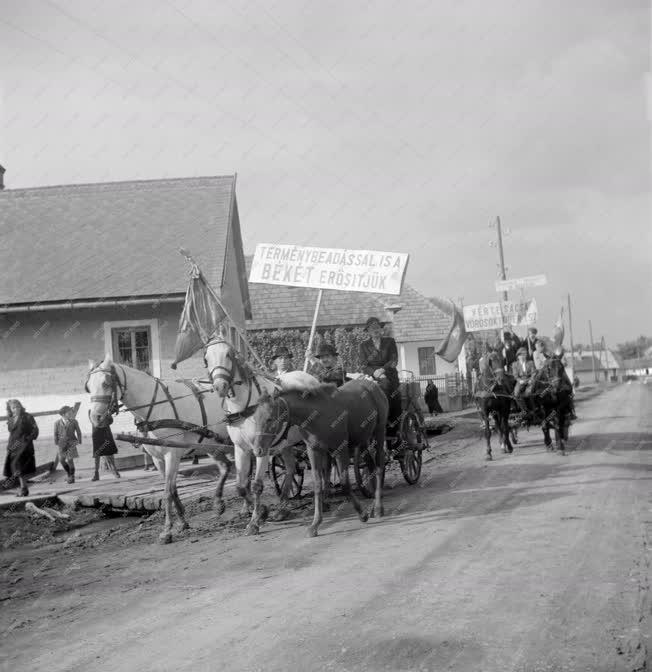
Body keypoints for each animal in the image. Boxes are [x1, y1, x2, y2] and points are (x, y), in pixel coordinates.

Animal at [84, 354, 232, 544]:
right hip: (211, 444)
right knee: (226, 467)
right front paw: (182, 522)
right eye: (88, 387)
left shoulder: (172, 454)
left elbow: (167, 492)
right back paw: (219, 504)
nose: (96, 417)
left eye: (106, 383)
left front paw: (167, 531)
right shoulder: (157, 458)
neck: (155, 408)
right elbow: (173, 490)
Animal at [202, 338, 318, 532]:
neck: (244, 408)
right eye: (206, 357)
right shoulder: (241, 448)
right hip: (286, 443)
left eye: (228, 354)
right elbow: (241, 486)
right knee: (290, 468)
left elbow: (256, 485)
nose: (220, 386)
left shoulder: (262, 448)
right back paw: (282, 509)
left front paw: (255, 520)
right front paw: (262, 511)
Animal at [250, 376, 388, 540]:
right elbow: (318, 485)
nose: (257, 450)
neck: (316, 416)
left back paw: (378, 507)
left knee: (379, 465)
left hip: (379, 432)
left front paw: (362, 514)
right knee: (370, 465)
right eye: (255, 419)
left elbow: (344, 483)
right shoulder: (314, 450)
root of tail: (372, 384)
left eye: (270, 419)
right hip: (363, 440)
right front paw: (315, 524)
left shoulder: (340, 449)